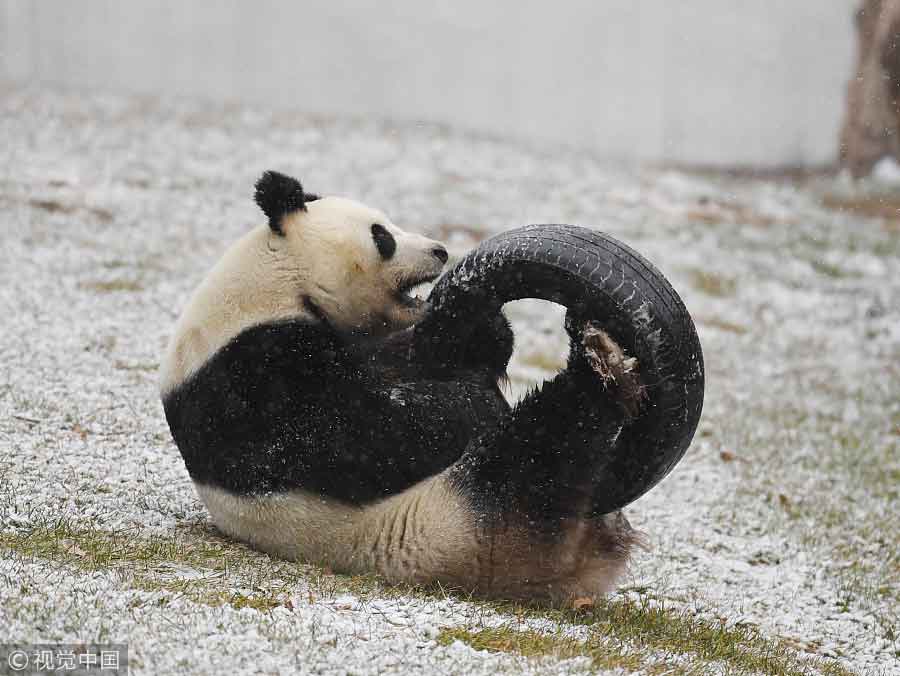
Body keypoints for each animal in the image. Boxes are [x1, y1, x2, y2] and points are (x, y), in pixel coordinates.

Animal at [160, 170, 704, 604]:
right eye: (382, 236)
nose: (441, 251)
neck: (278, 281)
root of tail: (579, 566)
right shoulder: (250, 376)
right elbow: (366, 437)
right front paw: (474, 399)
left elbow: (415, 359)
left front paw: (477, 326)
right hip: (468, 524)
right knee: (542, 447)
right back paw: (598, 365)